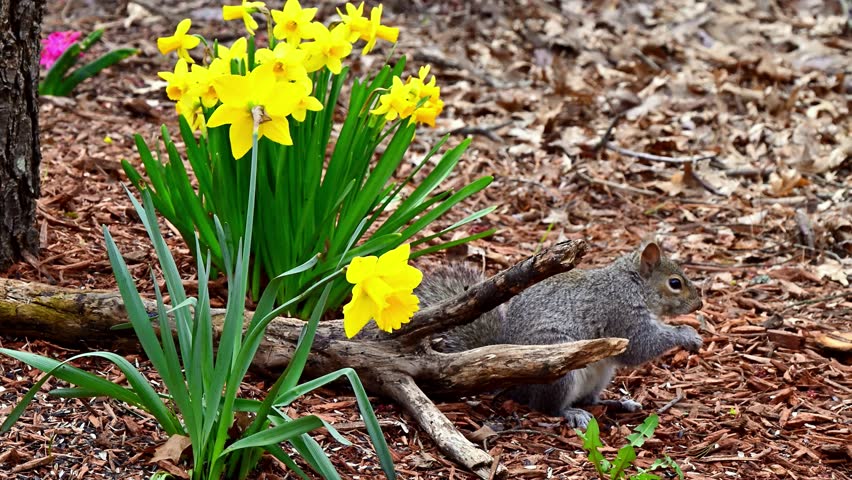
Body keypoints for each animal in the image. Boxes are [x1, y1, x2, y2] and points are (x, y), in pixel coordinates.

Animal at [415, 240, 704, 428]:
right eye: (675, 283)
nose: (699, 305)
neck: (632, 284)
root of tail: (514, 386)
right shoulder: (620, 312)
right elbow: (640, 346)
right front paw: (686, 334)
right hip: (558, 369)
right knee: (547, 407)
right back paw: (572, 413)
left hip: (601, 374)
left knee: (589, 399)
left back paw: (617, 404)